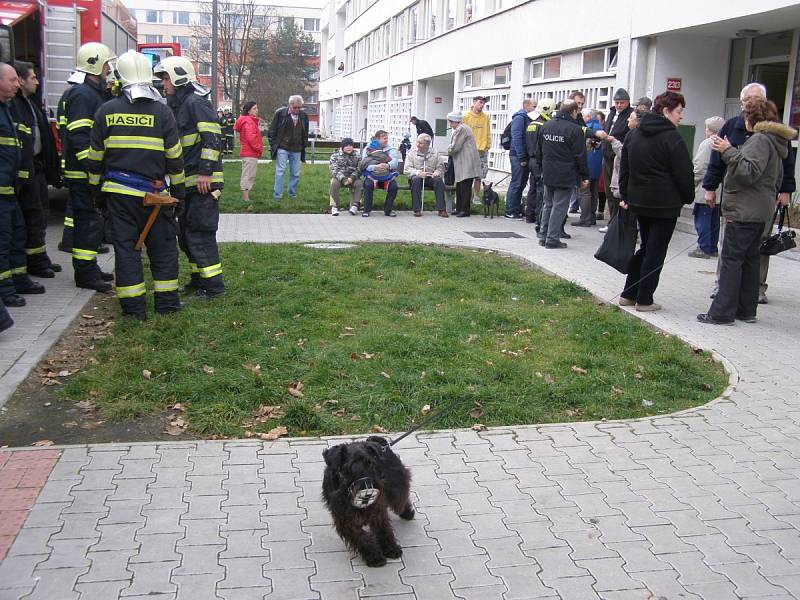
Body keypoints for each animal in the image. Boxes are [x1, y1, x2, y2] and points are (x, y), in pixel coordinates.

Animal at [322, 436, 416, 568]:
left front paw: (391, 548)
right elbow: (362, 538)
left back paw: (408, 513)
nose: (368, 487)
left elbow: (383, 529)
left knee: (401, 502)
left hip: (396, 489)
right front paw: (375, 556)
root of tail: (381, 443)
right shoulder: (345, 521)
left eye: (370, 463)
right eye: (349, 467)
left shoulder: (377, 510)